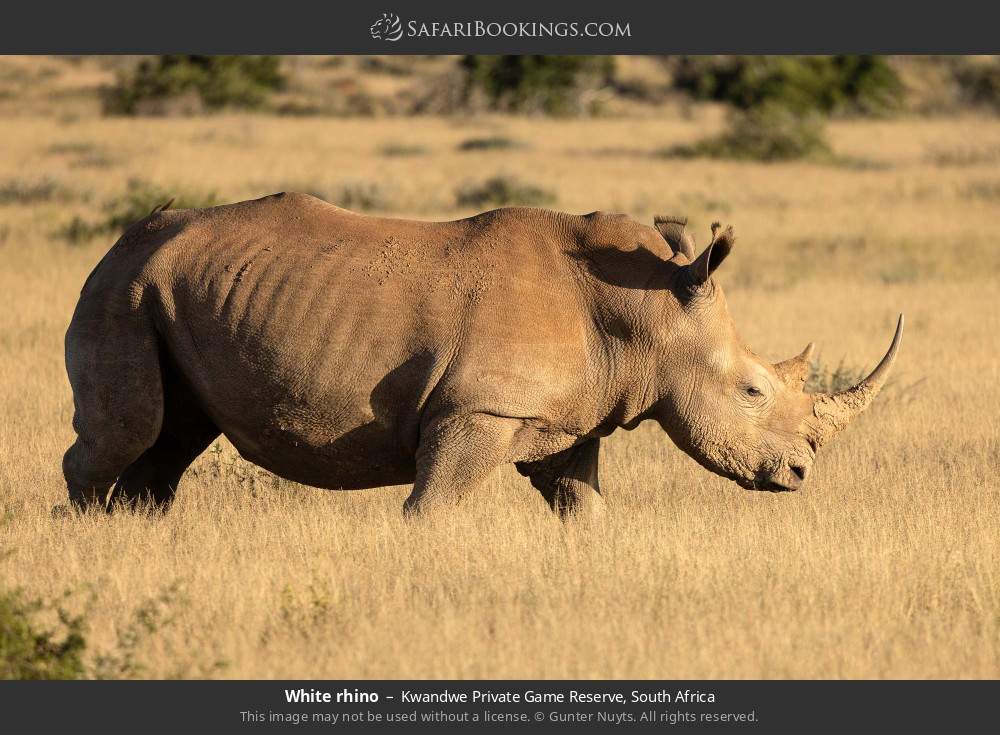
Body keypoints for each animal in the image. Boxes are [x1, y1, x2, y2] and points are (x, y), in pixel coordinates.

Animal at [63, 193, 902, 518]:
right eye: (752, 391)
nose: (799, 474)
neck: (651, 311)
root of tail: (120, 241)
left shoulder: (566, 420)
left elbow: (586, 508)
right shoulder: (476, 409)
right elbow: (430, 509)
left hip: (165, 291)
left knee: (169, 441)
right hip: (123, 291)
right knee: (130, 434)